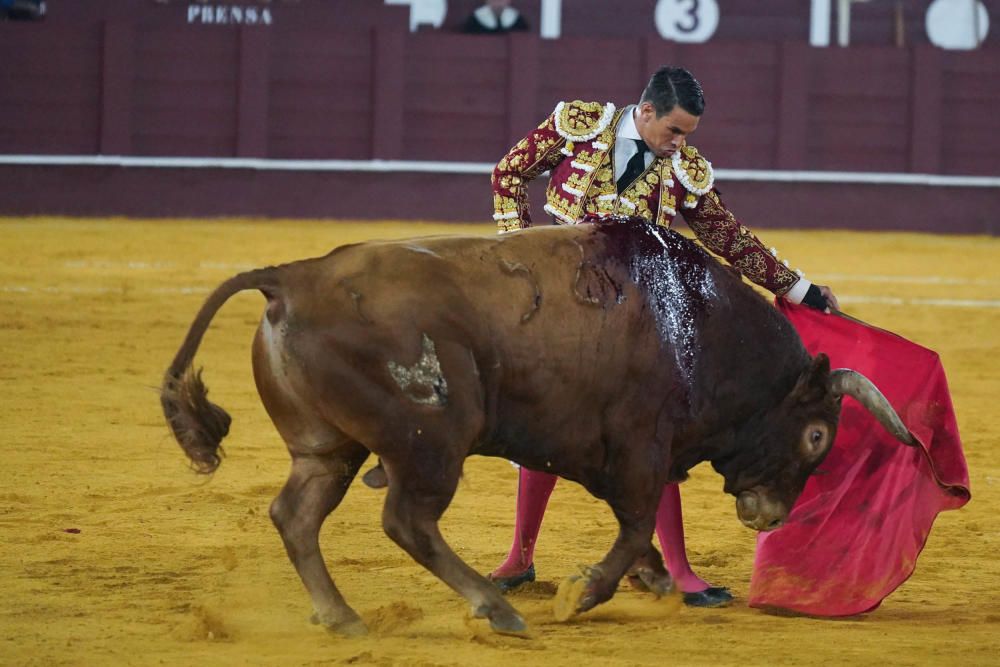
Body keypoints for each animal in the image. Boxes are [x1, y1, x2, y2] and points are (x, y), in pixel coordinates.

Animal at [162, 218, 916, 636]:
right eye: (817, 436)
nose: (771, 515)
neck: (698, 323)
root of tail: (292, 278)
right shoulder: (639, 447)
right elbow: (635, 523)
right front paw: (585, 591)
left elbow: (642, 528)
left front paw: (654, 578)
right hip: (429, 443)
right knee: (407, 520)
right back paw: (494, 608)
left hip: (329, 448)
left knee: (296, 515)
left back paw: (343, 617)